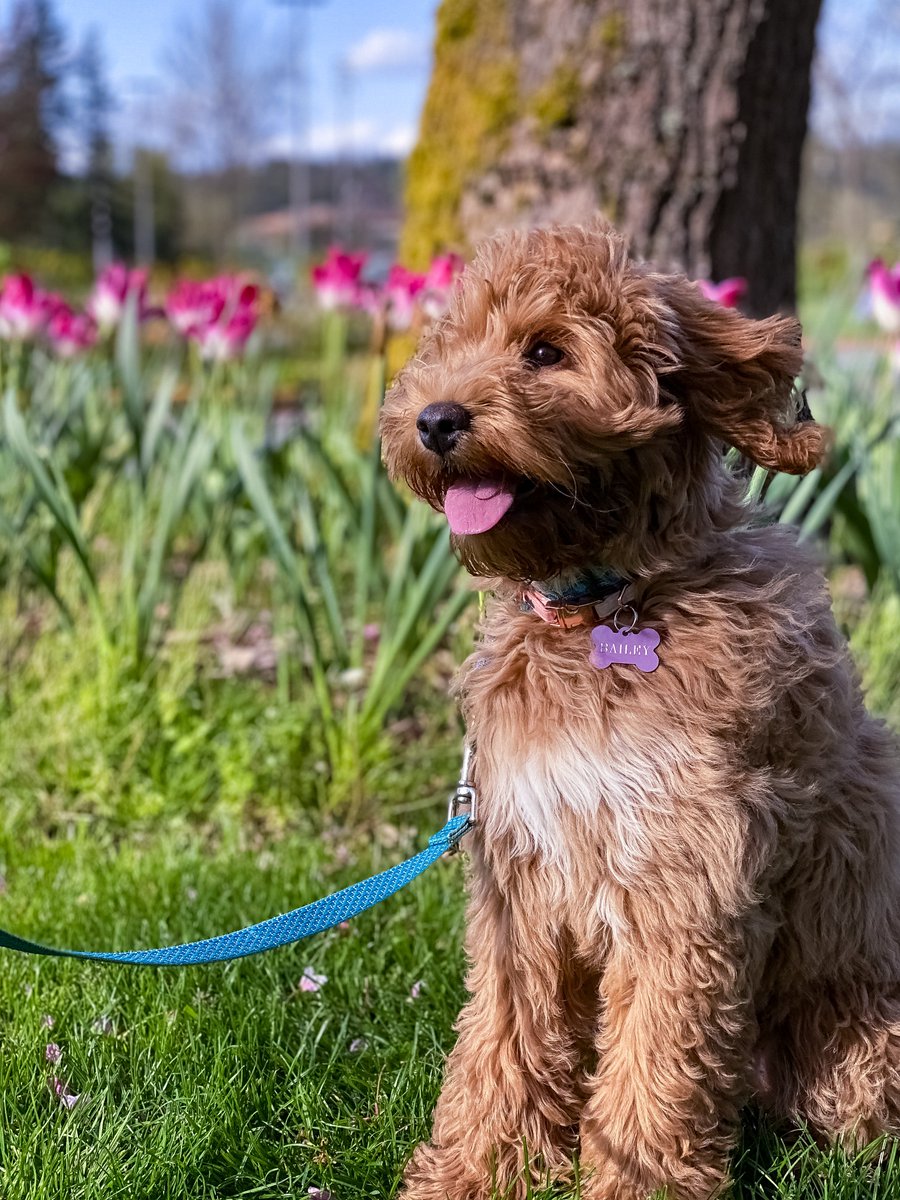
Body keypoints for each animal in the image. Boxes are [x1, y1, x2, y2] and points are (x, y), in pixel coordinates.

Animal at [379, 220, 900, 1195]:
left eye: (546, 351)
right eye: (452, 344)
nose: (433, 420)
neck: (608, 607)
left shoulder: (685, 878)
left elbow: (657, 1061)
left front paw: (631, 1179)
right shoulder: (522, 876)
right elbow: (504, 1038)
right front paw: (478, 1170)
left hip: (857, 1040)